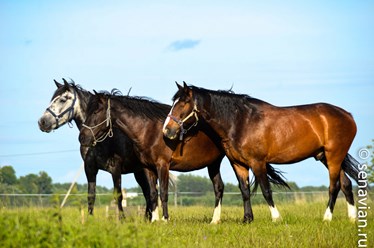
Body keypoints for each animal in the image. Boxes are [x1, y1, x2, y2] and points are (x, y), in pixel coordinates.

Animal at [37, 79, 156, 219]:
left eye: (63, 99)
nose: (42, 122)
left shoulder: (115, 169)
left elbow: (118, 196)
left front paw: (122, 220)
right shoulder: (90, 169)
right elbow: (91, 197)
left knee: (152, 194)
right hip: (139, 172)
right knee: (148, 194)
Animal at [79, 89, 290, 223]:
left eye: (97, 111)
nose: (82, 137)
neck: (148, 130)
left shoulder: (162, 165)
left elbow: (163, 193)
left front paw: (165, 219)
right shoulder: (148, 168)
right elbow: (153, 194)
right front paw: (154, 220)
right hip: (213, 163)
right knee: (219, 188)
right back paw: (215, 220)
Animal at [164, 81, 362, 223]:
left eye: (184, 103)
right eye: (173, 102)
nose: (167, 130)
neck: (240, 121)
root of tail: (348, 115)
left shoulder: (258, 162)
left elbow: (266, 190)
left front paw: (276, 218)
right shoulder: (238, 164)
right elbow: (244, 191)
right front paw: (247, 219)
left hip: (334, 156)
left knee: (334, 186)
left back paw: (327, 218)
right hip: (327, 157)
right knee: (346, 184)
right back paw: (352, 218)